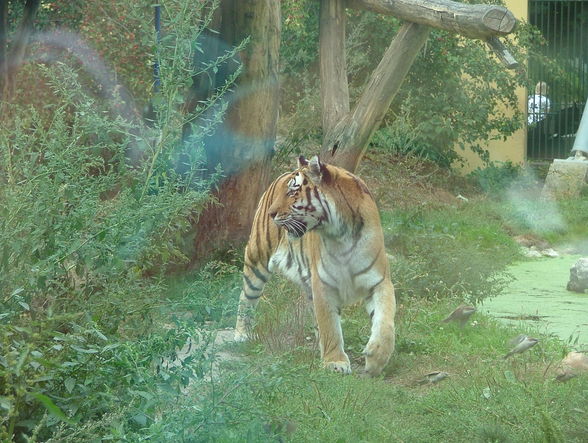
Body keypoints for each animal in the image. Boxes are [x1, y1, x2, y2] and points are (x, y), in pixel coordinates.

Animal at [233, 154, 396, 376]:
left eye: (293, 191)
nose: (271, 214)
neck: (342, 235)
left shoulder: (379, 281)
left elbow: (385, 320)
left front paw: (376, 359)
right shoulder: (324, 286)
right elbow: (330, 326)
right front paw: (335, 362)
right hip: (257, 257)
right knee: (247, 297)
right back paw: (241, 334)